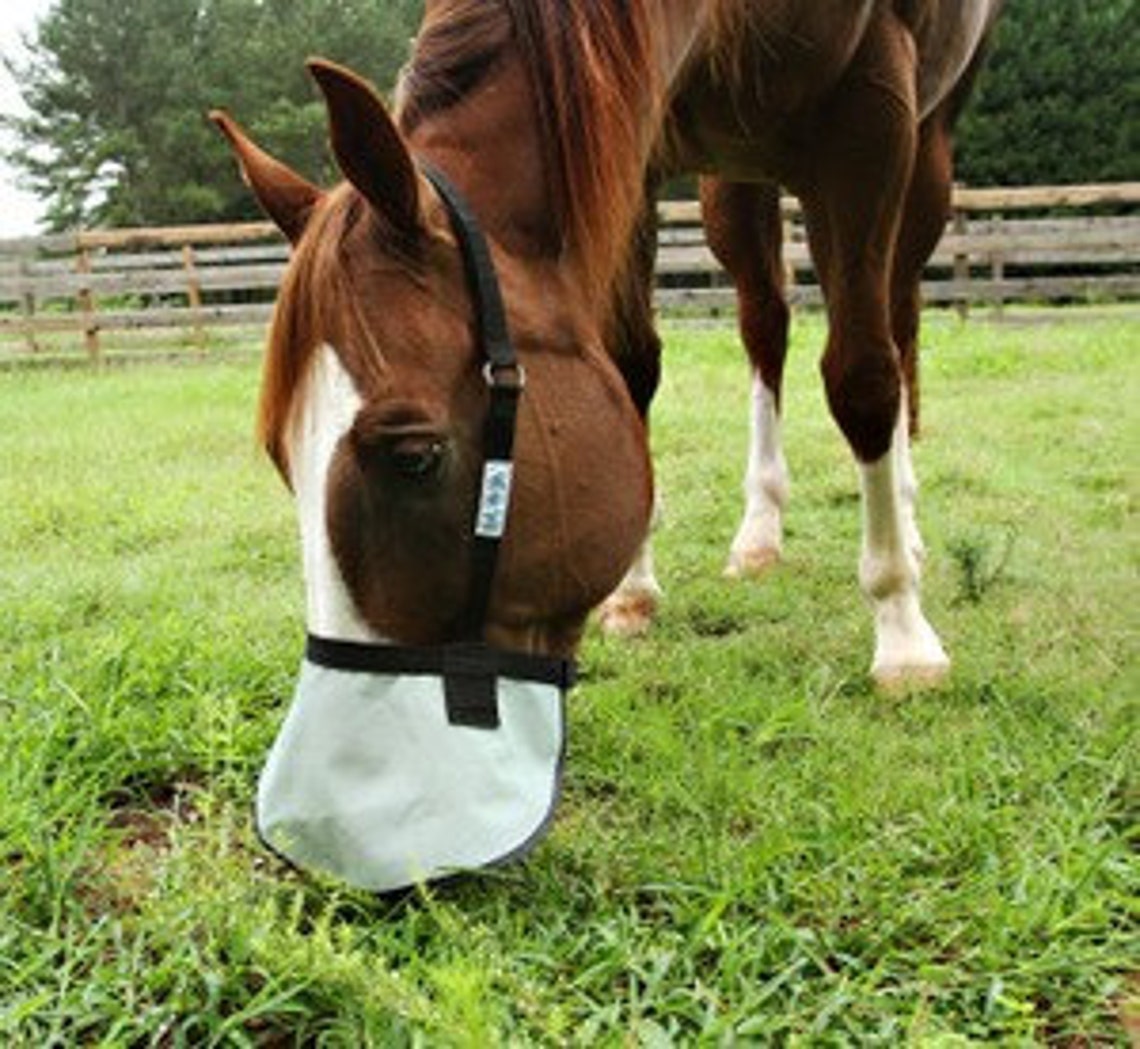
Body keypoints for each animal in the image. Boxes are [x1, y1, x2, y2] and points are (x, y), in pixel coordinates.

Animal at [212, 0, 1002, 689]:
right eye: (282, 457)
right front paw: (632, 592)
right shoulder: (629, 140)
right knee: (765, 324)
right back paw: (759, 533)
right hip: (733, 178)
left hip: (920, 158)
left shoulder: (871, 124)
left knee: (891, 326)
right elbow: (630, 368)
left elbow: (863, 377)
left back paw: (904, 522)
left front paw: (902, 632)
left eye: (416, 457)